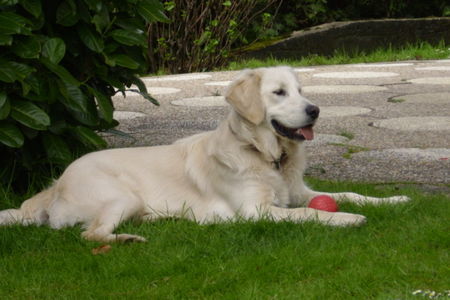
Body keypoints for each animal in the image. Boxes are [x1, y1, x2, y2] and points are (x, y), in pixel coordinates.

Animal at [0, 66, 410, 241]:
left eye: (301, 90)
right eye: (279, 93)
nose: (315, 111)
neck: (266, 155)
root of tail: (57, 183)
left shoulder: (298, 192)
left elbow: (347, 193)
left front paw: (394, 200)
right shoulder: (256, 211)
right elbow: (311, 214)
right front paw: (347, 219)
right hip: (118, 197)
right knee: (91, 235)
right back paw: (129, 239)